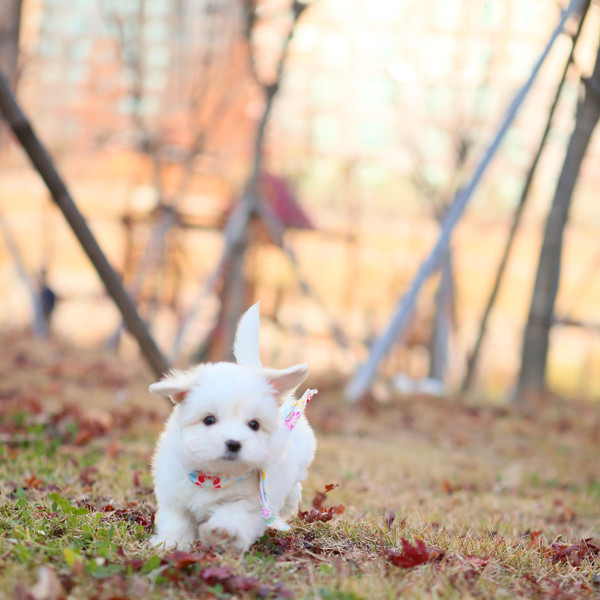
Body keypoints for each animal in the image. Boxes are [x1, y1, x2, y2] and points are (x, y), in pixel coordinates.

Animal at [148, 304, 316, 552]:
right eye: (209, 420)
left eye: (254, 425)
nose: (234, 443)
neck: (214, 478)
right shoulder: (173, 493)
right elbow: (177, 519)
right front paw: (171, 543)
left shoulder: (251, 502)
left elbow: (235, 513)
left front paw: (222, 532)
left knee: (294, 487)